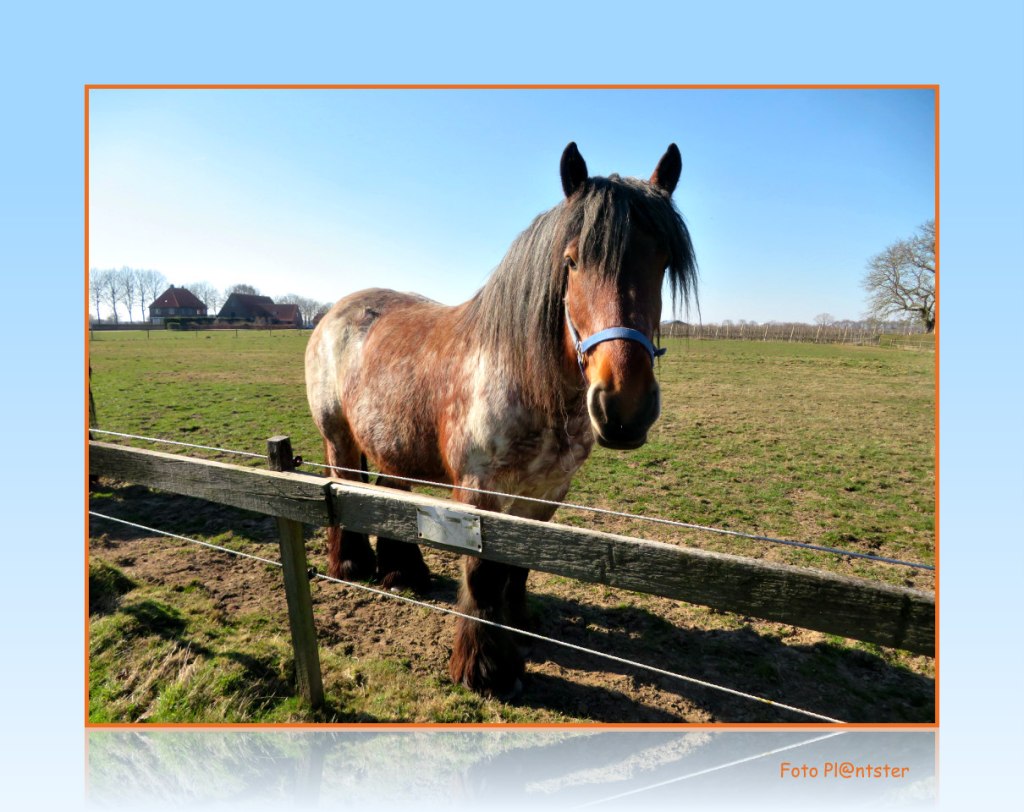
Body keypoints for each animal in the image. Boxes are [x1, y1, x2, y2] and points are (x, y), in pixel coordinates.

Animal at [305, 142, 697, 697]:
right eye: (571, 261)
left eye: (661, 261)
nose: (624, 406)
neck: (526, 376)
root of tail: (335, 312)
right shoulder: (479, 491)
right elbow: (482, 574)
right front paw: (484, 668)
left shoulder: (546, 493)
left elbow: (518, 565)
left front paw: (518, 629)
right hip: (339, 439)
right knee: (347, 488)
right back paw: (351, 565)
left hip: (393, 444)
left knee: (389, 497)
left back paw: (404, 574)